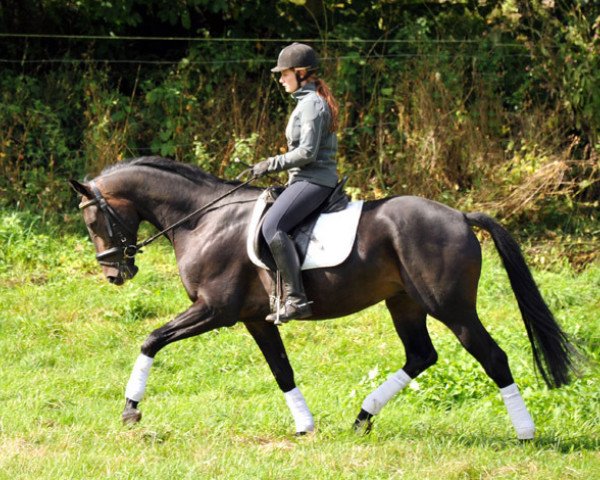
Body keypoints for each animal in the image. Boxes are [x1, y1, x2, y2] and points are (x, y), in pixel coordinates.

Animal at [70, 157, 576, 438]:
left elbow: (151, 339)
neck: (203, 219)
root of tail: (459, 215)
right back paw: (361, 419)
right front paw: (305, 425)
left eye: (93, 220)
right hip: (405, 303)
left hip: (452, 308)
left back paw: (525, 432)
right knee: (421, 355)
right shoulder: (253, 318)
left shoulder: (214, 310)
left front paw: (130, 410)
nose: (115, 273)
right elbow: (282, 370)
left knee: (493, 357)